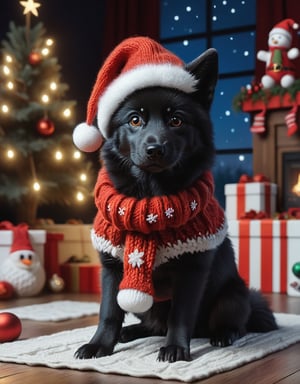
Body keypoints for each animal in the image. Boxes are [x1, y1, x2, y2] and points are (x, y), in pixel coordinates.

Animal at [74, 48, 276, 364]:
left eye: (176, 121)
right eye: (134, 120)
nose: (154, 149)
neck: (152, 198)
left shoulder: (192, 269)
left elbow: (180, 315)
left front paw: (176, 350)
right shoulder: (112, 267)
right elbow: (108, 312)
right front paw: (99, 345)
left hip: (233, 295)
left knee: (234, 322)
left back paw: (224, 335)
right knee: (153, 325)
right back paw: (129, 332)